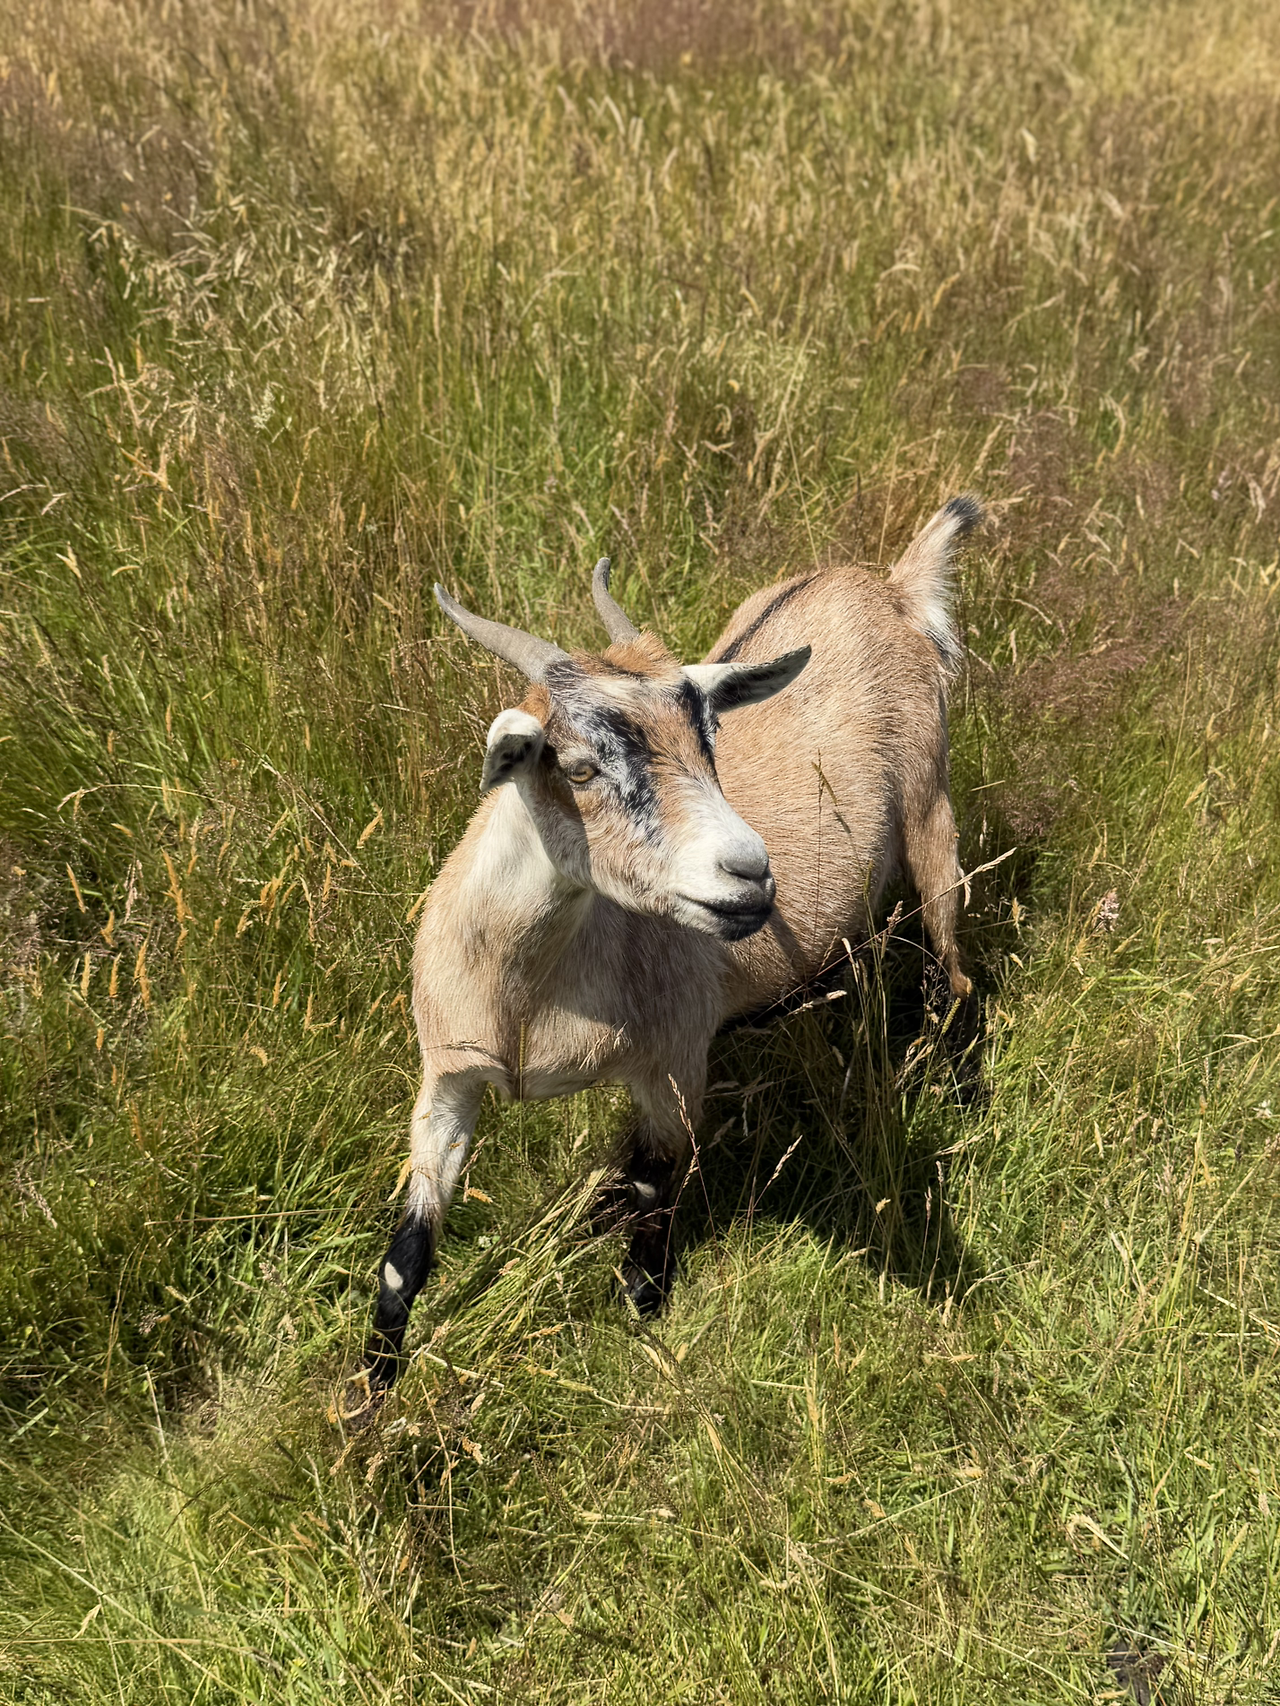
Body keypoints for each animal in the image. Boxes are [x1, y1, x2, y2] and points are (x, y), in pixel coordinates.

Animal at [360, 496, 981, 1393]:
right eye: (577, 766)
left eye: (708, 743)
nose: (751, 874)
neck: (527, 1000)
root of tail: (888, 587)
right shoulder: (446, 1076)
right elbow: (406, 1255)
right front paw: (369, 1391)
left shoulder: (674, 1066)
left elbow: (655, 1205)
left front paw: (644, 1320)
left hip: (934, 813)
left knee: (953, 975)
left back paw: (964, 1094)